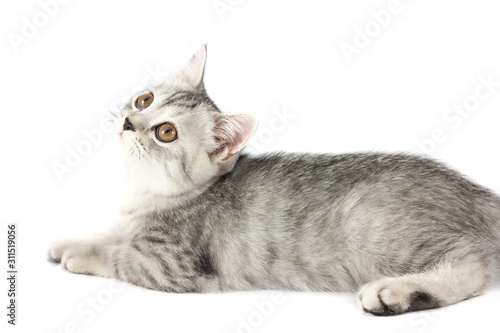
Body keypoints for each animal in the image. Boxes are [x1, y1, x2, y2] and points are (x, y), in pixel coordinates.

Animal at [47, 45, 500, 316]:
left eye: (166, 133)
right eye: (144, 100)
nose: (128, 121)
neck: (145, 193)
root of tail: (474, 192)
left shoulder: (172, 266)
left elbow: (118, 256)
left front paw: (79, 256)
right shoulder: (132, 227)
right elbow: (111, 234)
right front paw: (67, 242)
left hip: (383, 231)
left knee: (474, 265)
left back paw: (393, 293)